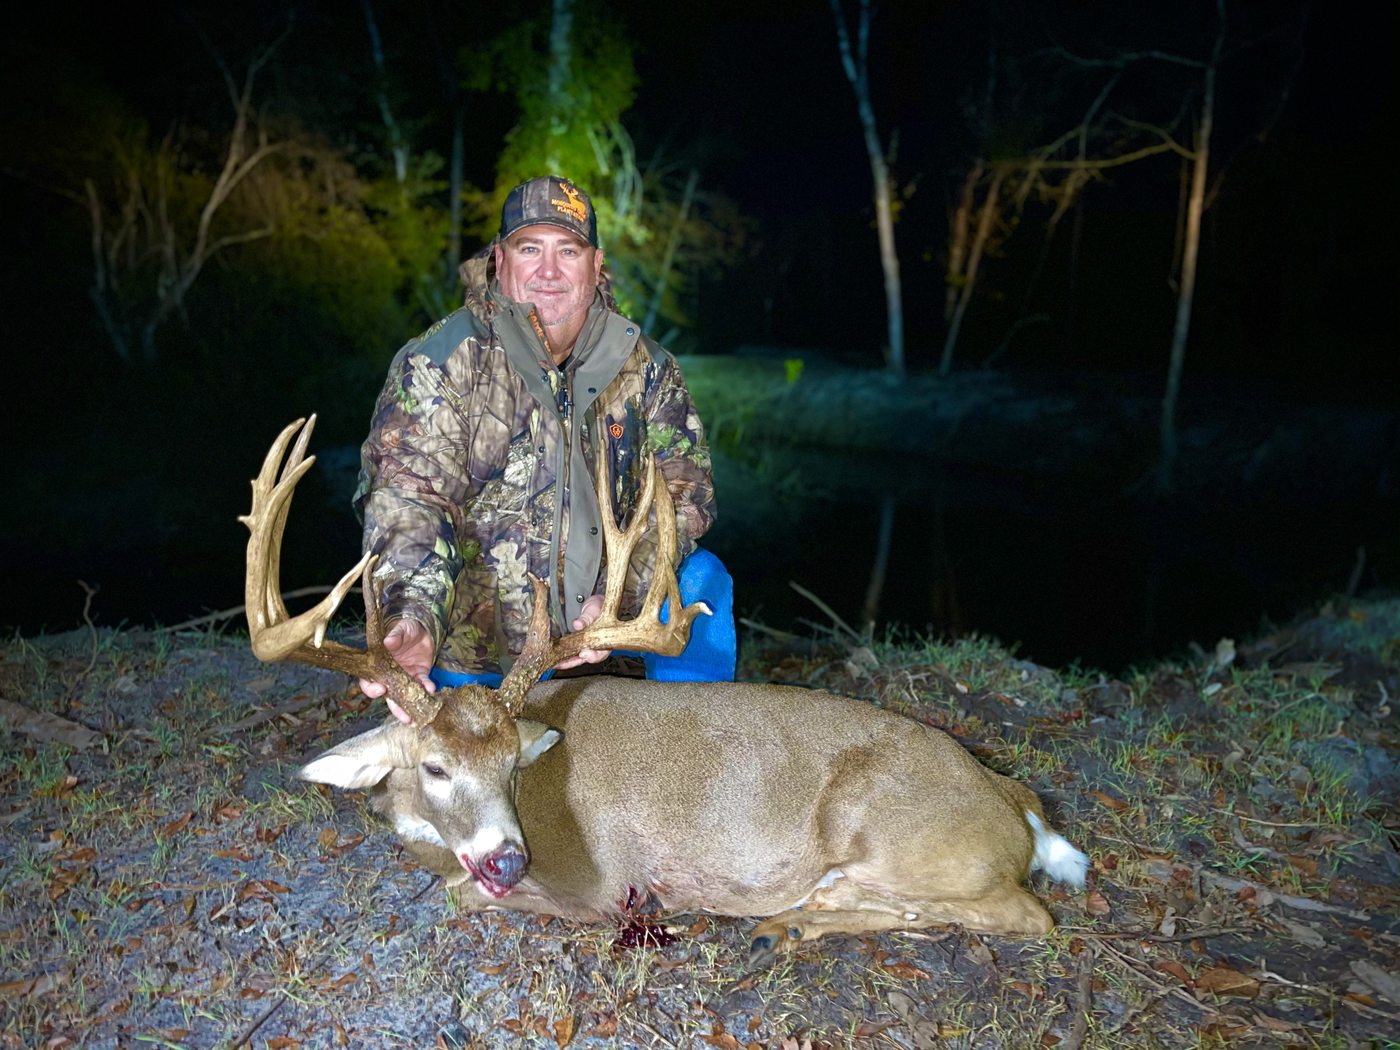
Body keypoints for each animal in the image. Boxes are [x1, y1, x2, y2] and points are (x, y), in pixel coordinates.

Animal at [241, 417, 1089, 966]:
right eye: (437, 766)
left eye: (514, 764)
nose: (510, 858)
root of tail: (1015, 802)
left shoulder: (592, 882)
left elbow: (458, 892)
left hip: (892, 829)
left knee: (1023, 912)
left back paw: (798, 915)